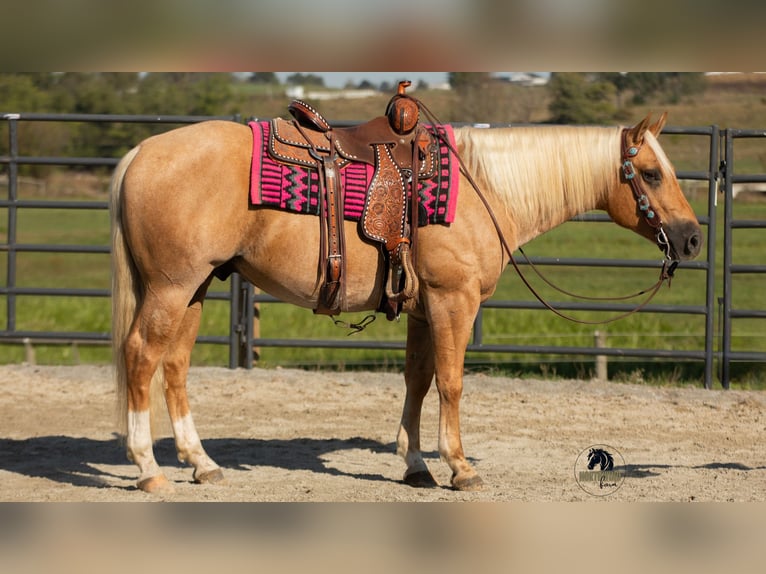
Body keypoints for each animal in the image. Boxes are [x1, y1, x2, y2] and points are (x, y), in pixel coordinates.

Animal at [110, 111, 702, 495]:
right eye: (651, 174)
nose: (693, 238)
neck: (485, 188)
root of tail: (143, 151)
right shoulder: (453, 301)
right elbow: (451, 382)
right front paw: (460, 467)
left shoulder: (422, 308)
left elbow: (417, 381)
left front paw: (416, 465)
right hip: (171, 287)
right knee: (141, 356)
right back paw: (148, 469)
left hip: (195, 288)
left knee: (175, 365)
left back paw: (201, 463)